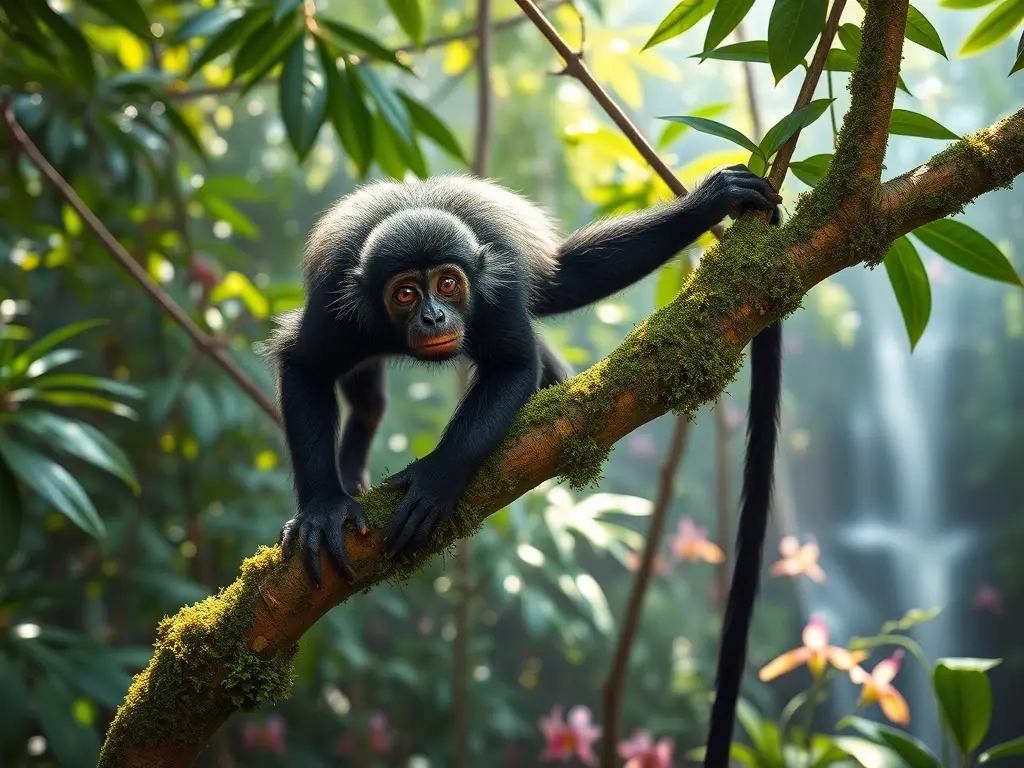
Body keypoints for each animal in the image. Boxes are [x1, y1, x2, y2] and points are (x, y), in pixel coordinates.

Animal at [255, 165, 782, 595]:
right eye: (405, 293)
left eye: (448, 283)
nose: (433, 316)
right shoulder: (335, 304)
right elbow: (303, 366)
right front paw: (323, 508)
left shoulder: (499, 289)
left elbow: (515, 367)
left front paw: (435, 479)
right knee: (367, 399)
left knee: (559, 286)